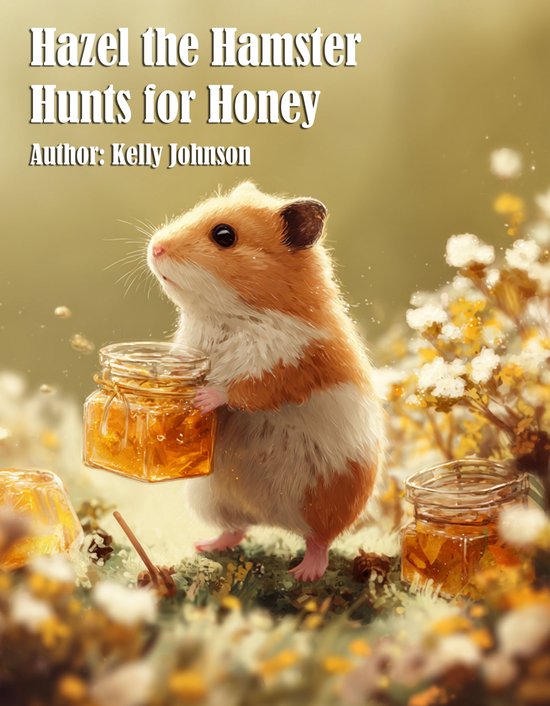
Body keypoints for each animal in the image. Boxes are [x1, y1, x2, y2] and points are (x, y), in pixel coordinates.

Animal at [147, 182, 385, 581]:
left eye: (224, 236)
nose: (155, 247)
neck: (232, 315)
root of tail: (273, 519)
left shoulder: (287, 364)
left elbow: (240, 388)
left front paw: (202, 398)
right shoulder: (190, 346)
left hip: (327, 498)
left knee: (319, 539)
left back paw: (305, 572)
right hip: (210, 497)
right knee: (237, 528)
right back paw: (206, 545)